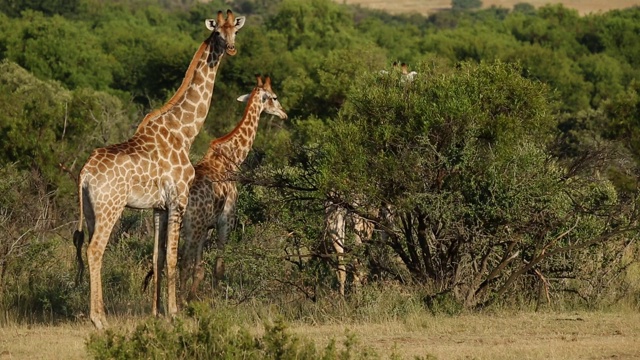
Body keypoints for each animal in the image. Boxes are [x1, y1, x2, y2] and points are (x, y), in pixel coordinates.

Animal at [73, 9, 245, 330]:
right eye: (217, 32)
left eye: (235, 31)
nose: (230, 48)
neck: (184, 131)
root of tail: (84, 174)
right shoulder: (179, 200)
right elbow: (175, 259)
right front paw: (174, 312)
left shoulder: (158, 208)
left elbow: (157, 258)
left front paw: (156, 312)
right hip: (110, 207)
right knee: (95, 249)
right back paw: (99, 319)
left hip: (89, 209)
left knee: (90, 248)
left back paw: (99, 314)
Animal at [179, 74, 286, 300]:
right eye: (274, 97)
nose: (284, 113)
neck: (232, 157)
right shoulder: (226, 219)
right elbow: (218, 268)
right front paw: (215, 298)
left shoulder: (207, 226)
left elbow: (199, 269)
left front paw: (194, 296)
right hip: (193, 226)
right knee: (182, 262)